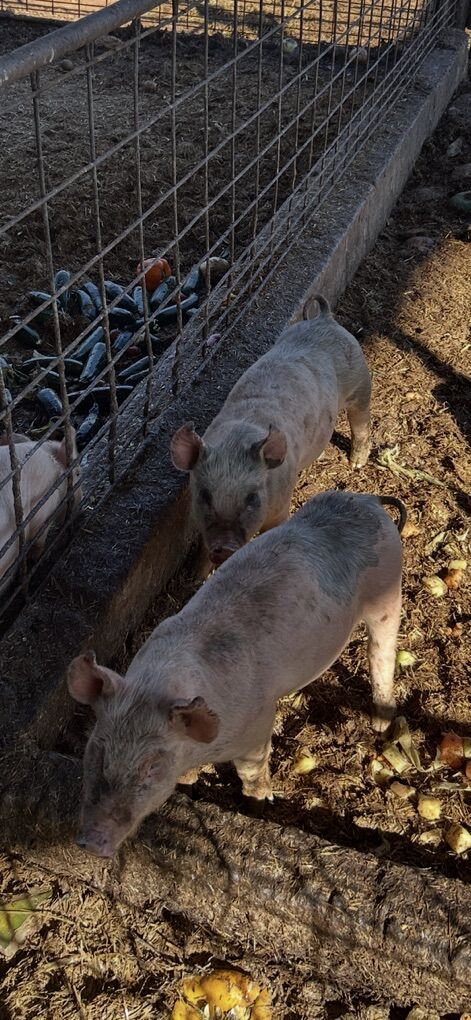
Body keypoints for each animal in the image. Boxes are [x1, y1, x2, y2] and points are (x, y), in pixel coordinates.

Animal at [68, 488, 405, 859]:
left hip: (388, 595)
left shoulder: (256, 728)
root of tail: (369, 501)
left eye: (152, 767)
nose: (90, 841)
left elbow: (252, 774)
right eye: (97, 748)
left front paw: (258, 807)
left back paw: (381, 723)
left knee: (382, 653)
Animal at [170, 295, 371, 566]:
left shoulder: (282, 504)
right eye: (205, 496)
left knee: (361, 424)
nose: (224, 547)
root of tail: (324, 318)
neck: (235, 440)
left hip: (361, 385)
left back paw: (356, 464)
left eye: (252, 497)